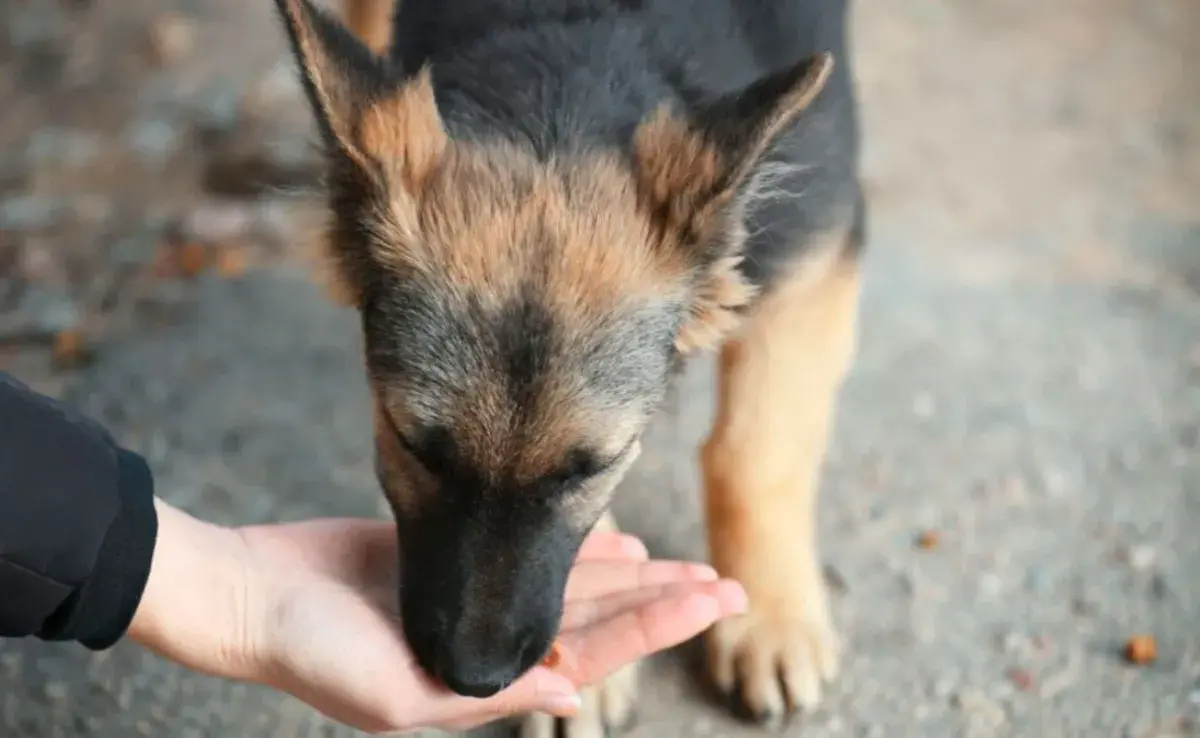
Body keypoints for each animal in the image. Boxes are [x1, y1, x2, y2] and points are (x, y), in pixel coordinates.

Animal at [272, 0, 864, 734]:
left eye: (589, 469)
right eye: (414, 447)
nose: (474, 679)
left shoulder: (814, 258)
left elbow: (756, 453)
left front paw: (769, 619)